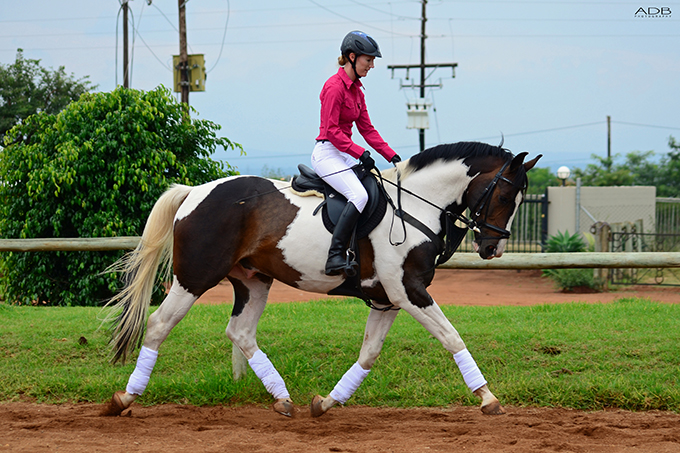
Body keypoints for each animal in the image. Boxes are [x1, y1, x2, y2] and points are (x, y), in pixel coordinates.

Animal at [100, 141, 541, 418]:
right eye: (505, 197)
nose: (492, 249)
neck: (415, 205)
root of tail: (193, 192)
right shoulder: (409, 291)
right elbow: (452, 338)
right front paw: (487, 398)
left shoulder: (388, 299)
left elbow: (368, 354)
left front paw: (327, 402)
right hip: (195, 277)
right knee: (159, 325)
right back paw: (125, 397)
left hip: (253, 280)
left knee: (240, 333)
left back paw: (282, 399)